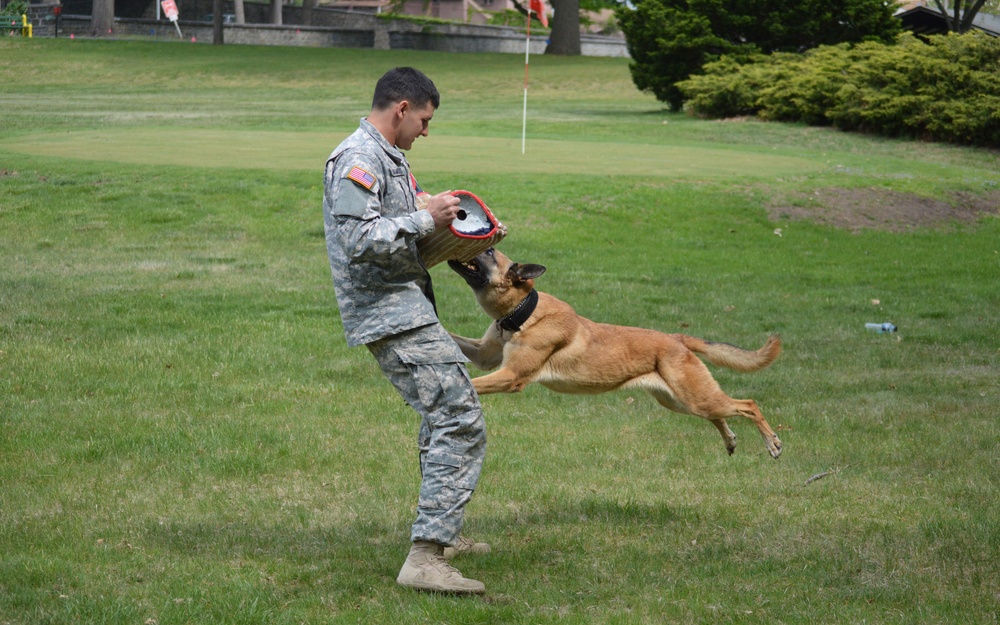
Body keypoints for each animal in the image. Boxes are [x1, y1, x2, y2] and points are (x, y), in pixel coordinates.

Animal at [450, 249, 784, 458]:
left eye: (490, 253)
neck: (522, 313)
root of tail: (676, 338)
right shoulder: (485, 356)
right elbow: (456, 341)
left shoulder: (511, 376)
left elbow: (475, 383)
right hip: (680, 401)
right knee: (720, 414)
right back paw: (730, 440)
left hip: (694, 397)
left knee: (748, 405)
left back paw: (773, 443)